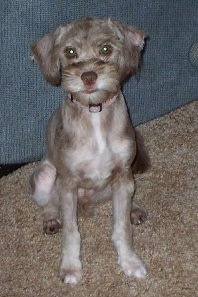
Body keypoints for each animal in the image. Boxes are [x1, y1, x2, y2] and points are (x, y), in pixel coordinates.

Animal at [30, 17, 148, 284]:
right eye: (70, 52)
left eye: (105, 48)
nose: (89, 76)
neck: (95, 112)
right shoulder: (68, 182)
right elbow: (71, 232)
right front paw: (71, 268)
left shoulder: (122, 174)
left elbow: (121, 228)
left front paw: (130, 262)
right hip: (44, 177)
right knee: (49, 204)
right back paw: (51, 220)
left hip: (122, 183)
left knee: (125, 202)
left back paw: (135, 209)